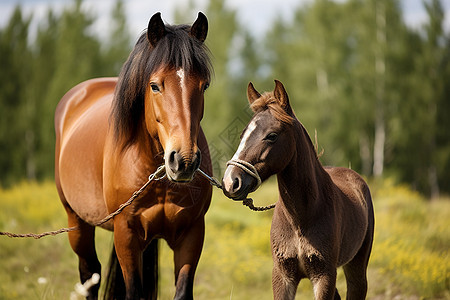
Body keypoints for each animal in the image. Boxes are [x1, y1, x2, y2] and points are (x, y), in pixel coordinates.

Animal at [54, 12, 213, 300]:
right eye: (155, 86)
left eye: (204, 86)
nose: (183, 162)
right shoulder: (125, 234)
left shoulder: (192, 234)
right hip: (77, 222)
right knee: (89, 273)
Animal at [221, 80, 372, 300]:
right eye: (242, 135)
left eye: (272, 135)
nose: (231, 181)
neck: (301, 217)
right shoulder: (283, 276)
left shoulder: (324, 276)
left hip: (357, 266)